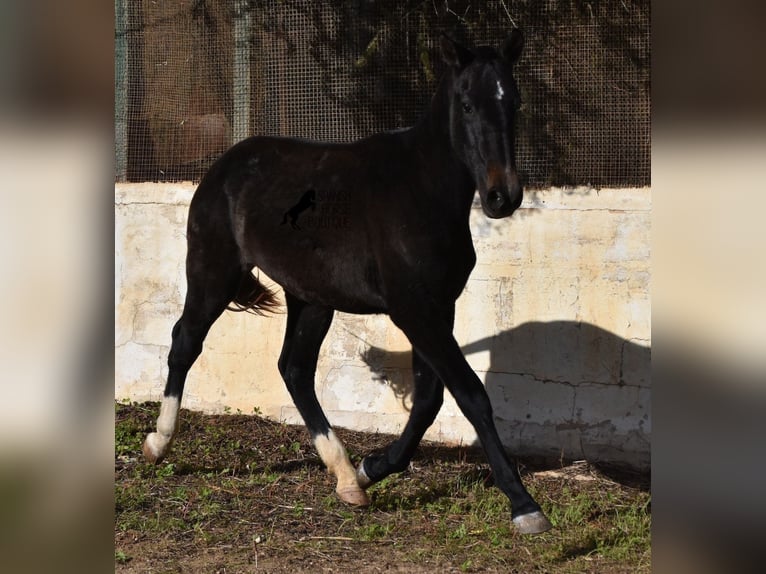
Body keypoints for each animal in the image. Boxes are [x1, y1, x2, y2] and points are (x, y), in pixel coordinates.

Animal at [142, 31, 552, 536]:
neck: (421, 192)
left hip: (311, 298)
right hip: (214, 274)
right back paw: (157, 444)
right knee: (186, 343)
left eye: (513, 102)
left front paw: (371, 468)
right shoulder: (414, 311)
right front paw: (524, 505)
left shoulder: (437, 308)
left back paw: (345, 477)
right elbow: (469, 394)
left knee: (294, 369)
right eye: (468, 104)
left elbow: (428, 399)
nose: (503, 197)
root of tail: (223, 166)